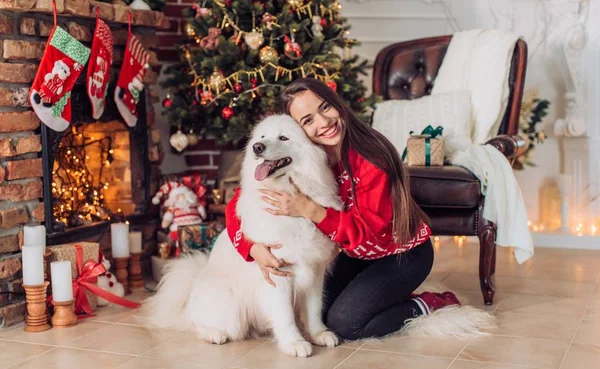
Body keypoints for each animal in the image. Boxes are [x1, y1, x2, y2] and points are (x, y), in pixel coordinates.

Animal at [143, 115, 344, 356]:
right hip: (230, 309)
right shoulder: (277, 273)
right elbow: (285, 314)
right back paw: (213, 334)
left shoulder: (314, 272)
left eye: (283, 137)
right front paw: (294, 343)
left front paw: (319, 335)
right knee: (196, 323)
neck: (287, 192)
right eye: (262, 137)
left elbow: (314, 310)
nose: (257, 147)